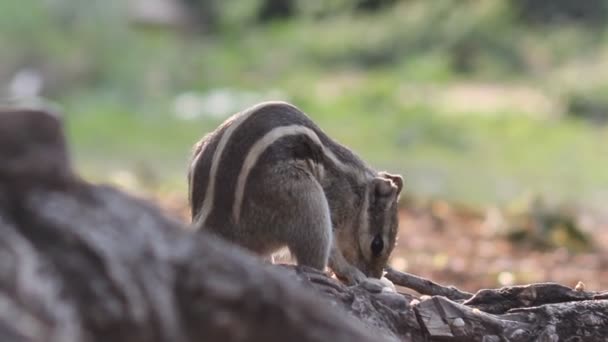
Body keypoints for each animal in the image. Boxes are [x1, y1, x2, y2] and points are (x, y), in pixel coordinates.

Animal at [188, 101, 402, 284]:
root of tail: (214, 219)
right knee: (312, 259)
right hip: (307, 199)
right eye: (377, 245)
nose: (374, 276)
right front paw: (351, 272)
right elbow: (333, 251)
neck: (358, 193)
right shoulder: (337, 203)